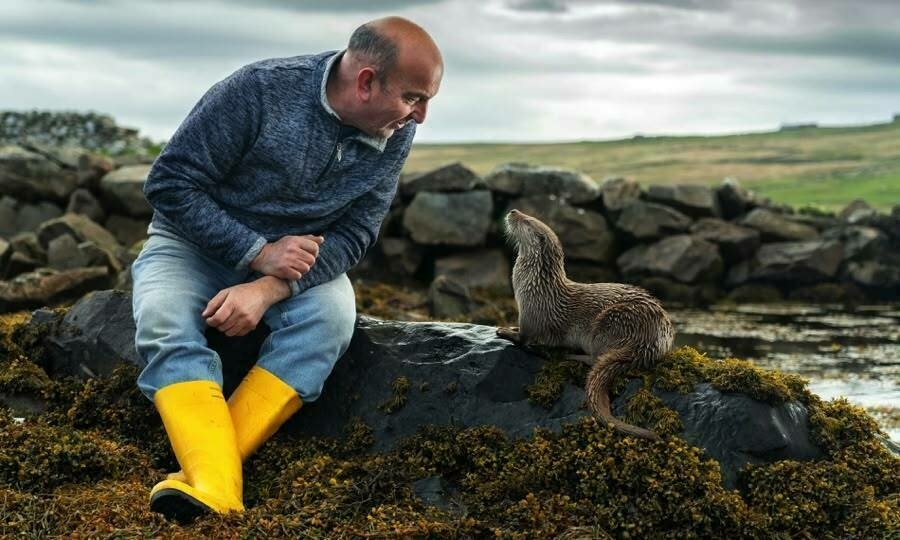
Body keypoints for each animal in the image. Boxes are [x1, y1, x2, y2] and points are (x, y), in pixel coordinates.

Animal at [500, 209, 676, 440]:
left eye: (527, 220)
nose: (513, 212)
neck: (536, 285)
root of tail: (651, 340)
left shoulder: (531, 314)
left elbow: (524, 337)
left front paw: (505, 331)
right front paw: (509, 327)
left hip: (609, 322)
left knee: (595, 358)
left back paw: (572, 355)